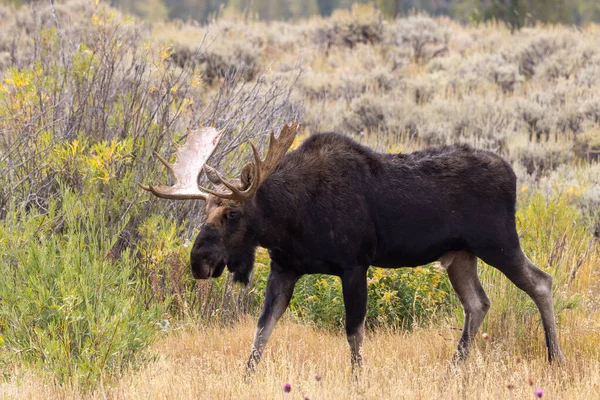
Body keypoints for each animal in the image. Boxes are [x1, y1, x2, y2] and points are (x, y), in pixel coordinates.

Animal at [142, 123, 568, 370]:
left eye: (231, 213)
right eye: (205, 212)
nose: (199, 261)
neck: (289, 217)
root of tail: (512, 174)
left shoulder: (354, 264)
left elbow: (354, 332)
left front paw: (357, 378)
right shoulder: (285, 267)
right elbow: (262, 329)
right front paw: (248, 375)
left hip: (498, 242)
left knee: (541, 281)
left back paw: (556, 359)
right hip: (461, 256)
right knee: (478, 303)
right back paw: (455, 367)